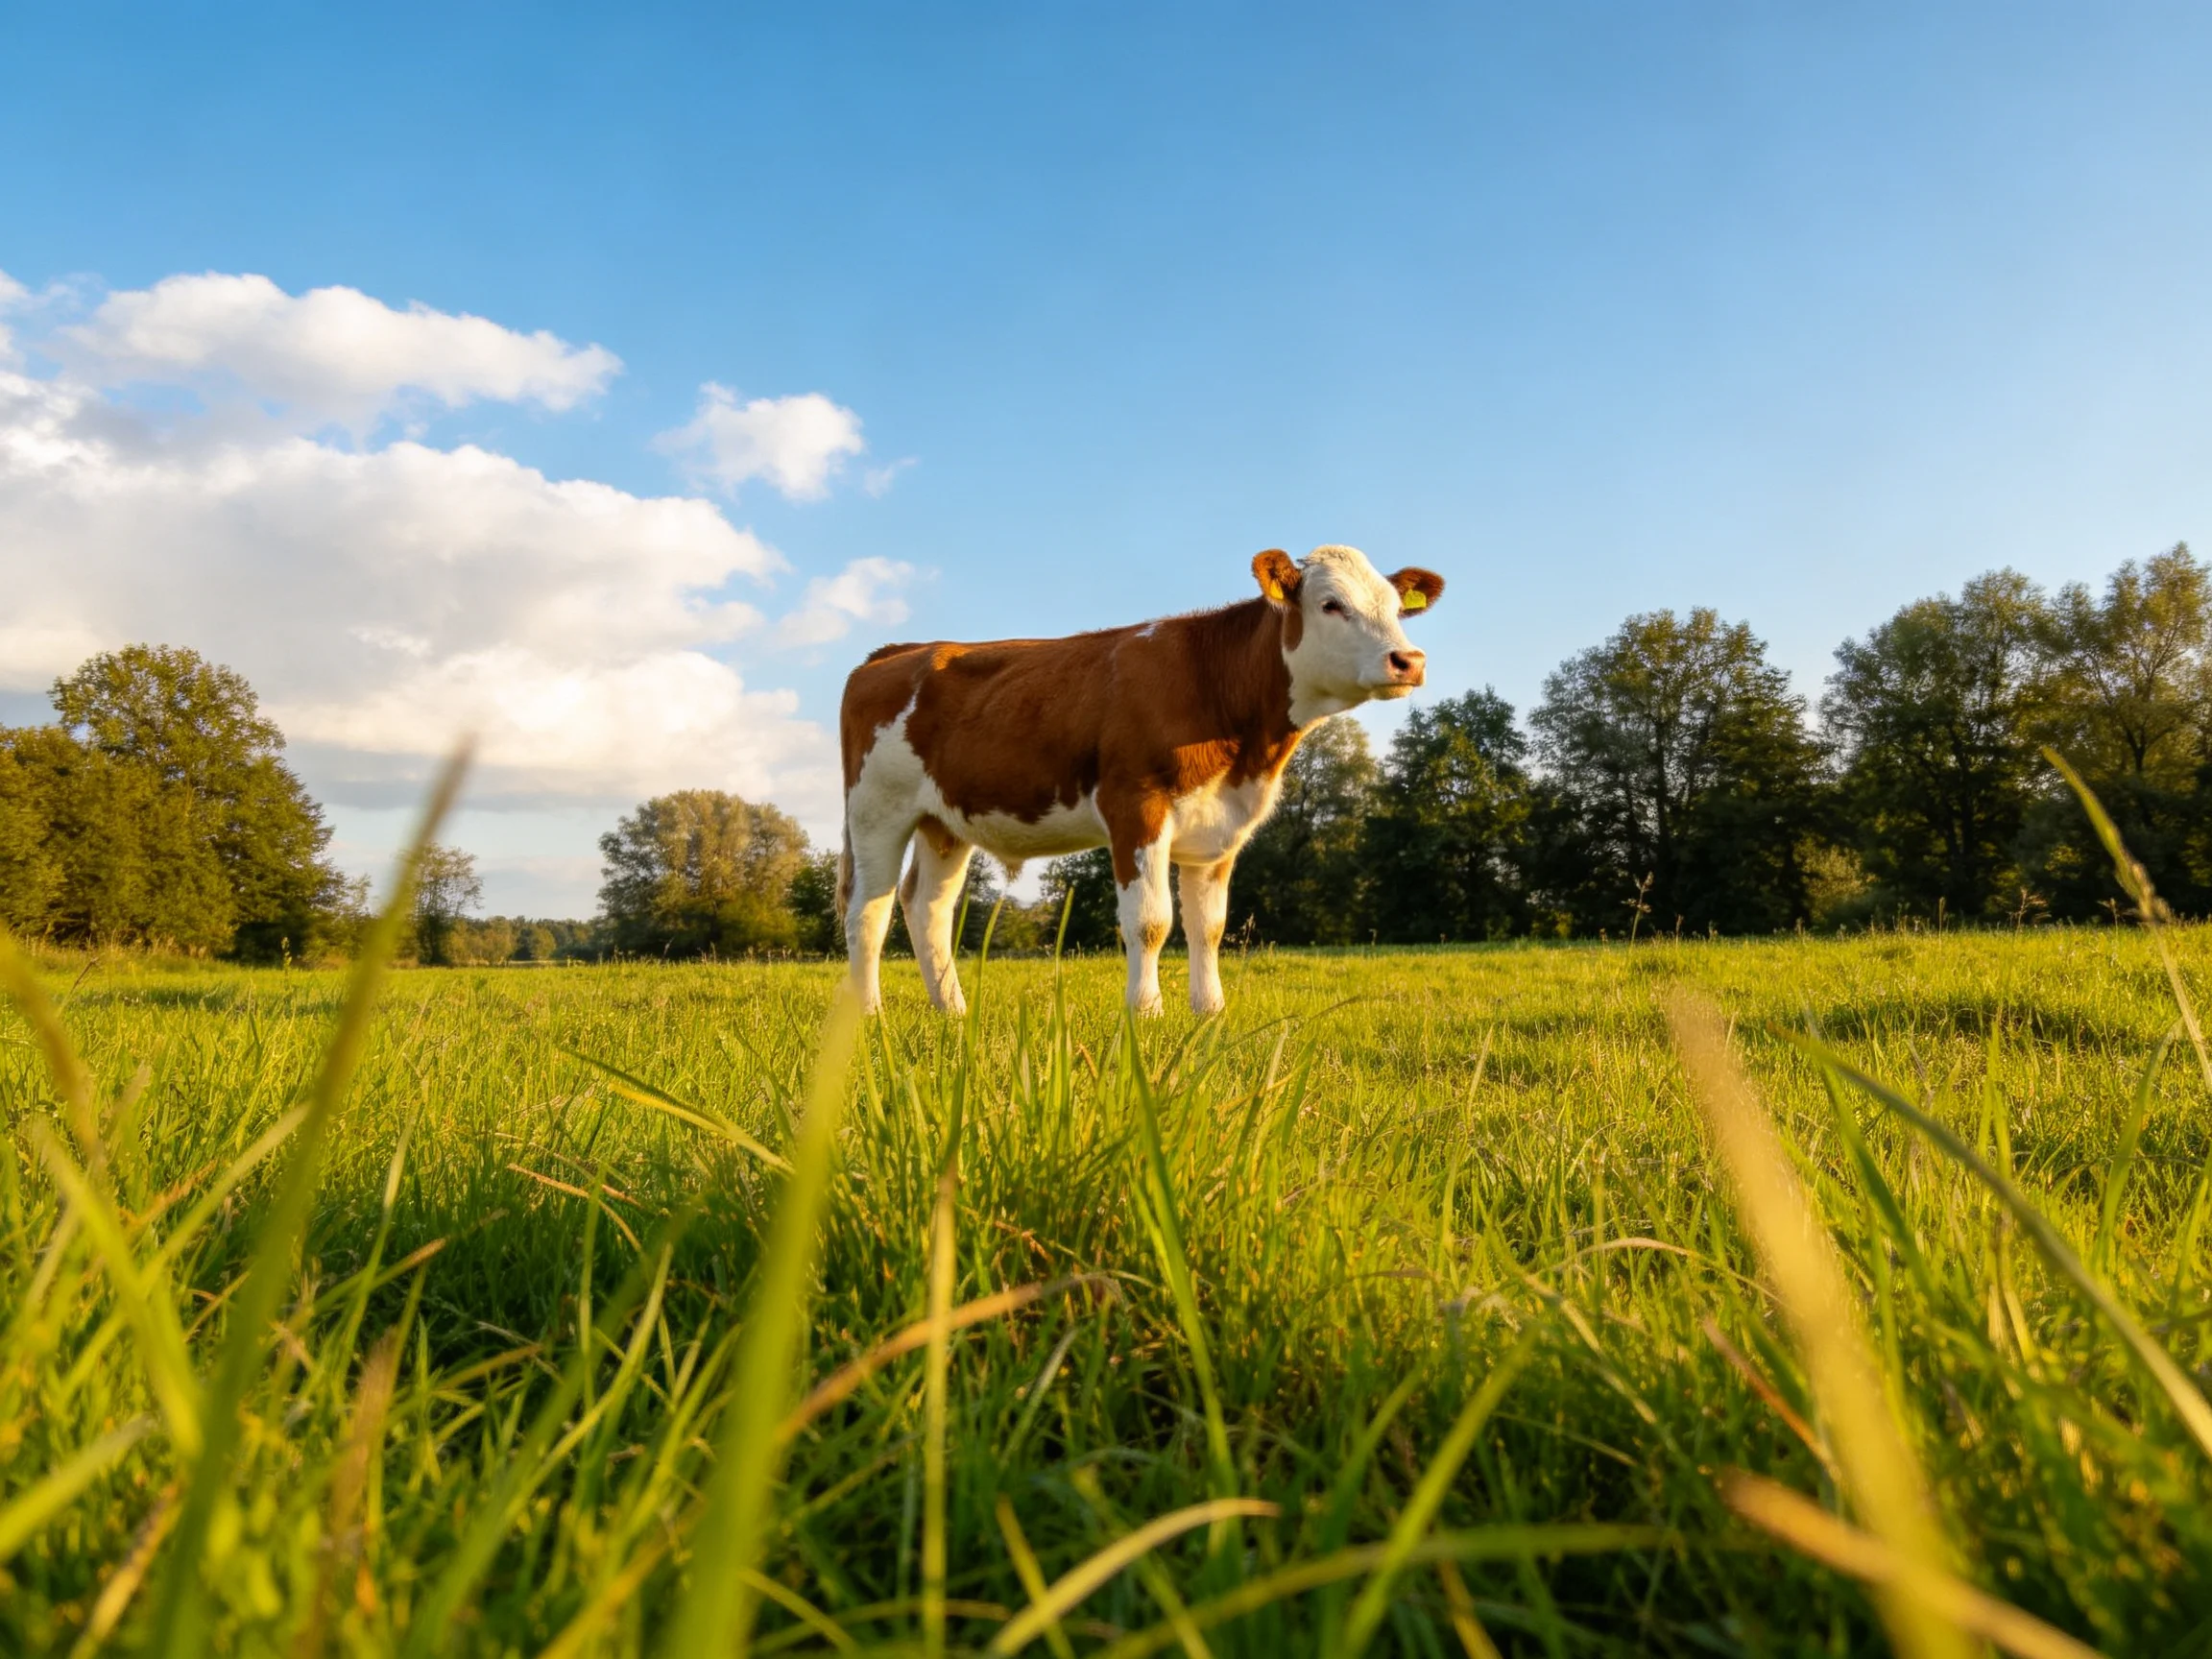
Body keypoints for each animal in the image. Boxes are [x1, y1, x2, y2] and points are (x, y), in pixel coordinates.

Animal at [836, 544, 1445, 1016]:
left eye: (1396, 607)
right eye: (1331, 604)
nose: (1409, 660)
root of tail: (899, 651)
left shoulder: (1220, 826)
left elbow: (1209, 926)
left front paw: (1209, 1013)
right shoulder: (1136, 804)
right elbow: (1150, 921)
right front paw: (1146, 1014)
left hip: (944, 821)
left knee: (926, 907)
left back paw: (954, 1012)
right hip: (876, 810)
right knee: (868, 909)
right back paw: (868, 1015)